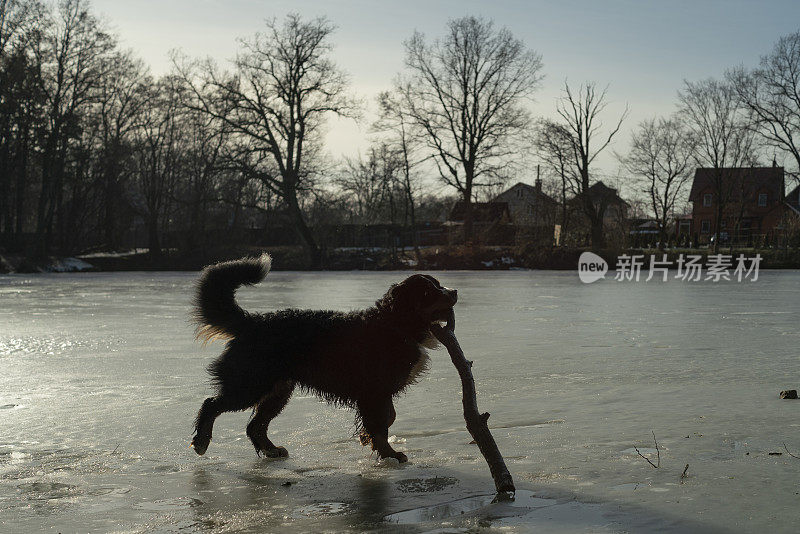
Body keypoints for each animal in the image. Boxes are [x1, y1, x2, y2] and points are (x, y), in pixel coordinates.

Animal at [189, 256, 456, 464]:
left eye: (438, 285)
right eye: (428, 292)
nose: (453, 292)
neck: (394, 324)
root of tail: (252, 322)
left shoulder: (378, 393)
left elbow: (386, 418)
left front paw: (367, 439)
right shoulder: (374, 391)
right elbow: (381, 424)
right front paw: (389, 454)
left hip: (278, 390)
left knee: (255, 425)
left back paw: (271, 450)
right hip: (250, 384)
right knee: (211, 404)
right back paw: (201, 441)